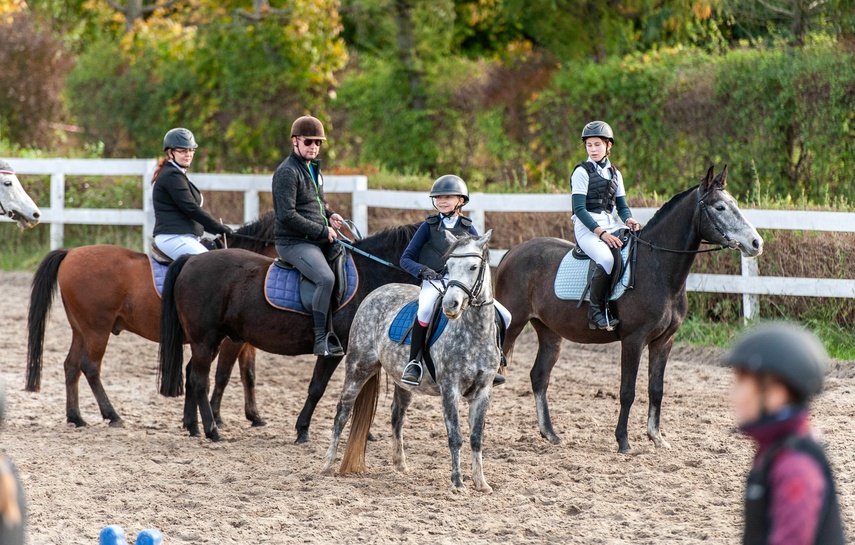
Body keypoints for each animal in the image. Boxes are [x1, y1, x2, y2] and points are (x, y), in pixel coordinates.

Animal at [26, 210, 278, 428]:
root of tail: (71, 252)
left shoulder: (245, 341)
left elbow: (249, 375)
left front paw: (254, 416)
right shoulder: (227, 341)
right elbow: (223, 375)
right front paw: (216, 417)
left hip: (81, 329)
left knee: (71, 366)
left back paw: (76, 417)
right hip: (97, 329)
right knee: (90, 367)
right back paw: (112, 415)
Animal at [159, 223, 420, 440]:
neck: (370, 273)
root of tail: (191, 260)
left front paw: (364, 434)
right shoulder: (336, 350)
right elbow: (318, 388)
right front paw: (302, 429)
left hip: (210, 340)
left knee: (191, 372)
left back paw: (193, 426)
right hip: (205, 339)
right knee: (199, 379)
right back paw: (212, 430)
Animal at [322, 230, 498, 492]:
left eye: (473, 267)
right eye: (448, 266)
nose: (450, 305)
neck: (474, 333)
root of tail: (377, 292)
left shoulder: (483, 391)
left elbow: (476, 438)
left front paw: (481, 483)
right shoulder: (450, 389)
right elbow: (455, 437)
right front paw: (458, 483)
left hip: (402, 381)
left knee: (397, 416)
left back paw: (400, 465)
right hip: (358, 367)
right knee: (342, 411)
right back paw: (328, 464)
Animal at [494, 165, 764, 450]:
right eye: (720, 207)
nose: (756, 244)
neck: (657, 268)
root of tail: (512, 252)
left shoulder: (664, 342)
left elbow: (656, 390)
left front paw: (657, 437)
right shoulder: (633, 340)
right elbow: (628, 391)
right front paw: (623, 441)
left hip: (549, 332)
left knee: (539, 376)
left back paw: (551, 434)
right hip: (513, 324)